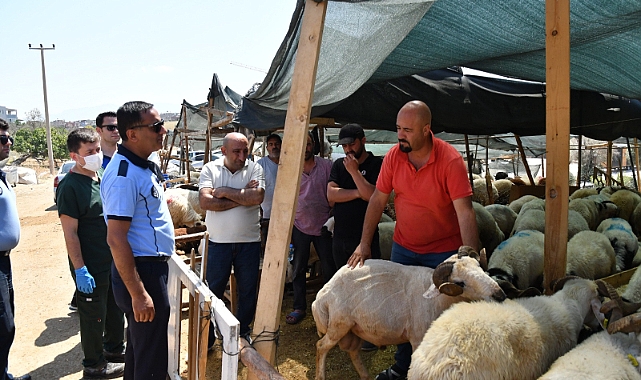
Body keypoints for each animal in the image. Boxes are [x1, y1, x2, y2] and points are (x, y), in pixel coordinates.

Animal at [312, 246, 504, 380]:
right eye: (460, 283)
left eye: (480, 267)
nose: (500, 294)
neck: (439, 299)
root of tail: (322, 294)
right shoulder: (419, 338)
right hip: (339, 325)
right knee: (321, 346)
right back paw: (320, 376)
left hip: (355, 328)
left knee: (352, 351)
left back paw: (365, 376)